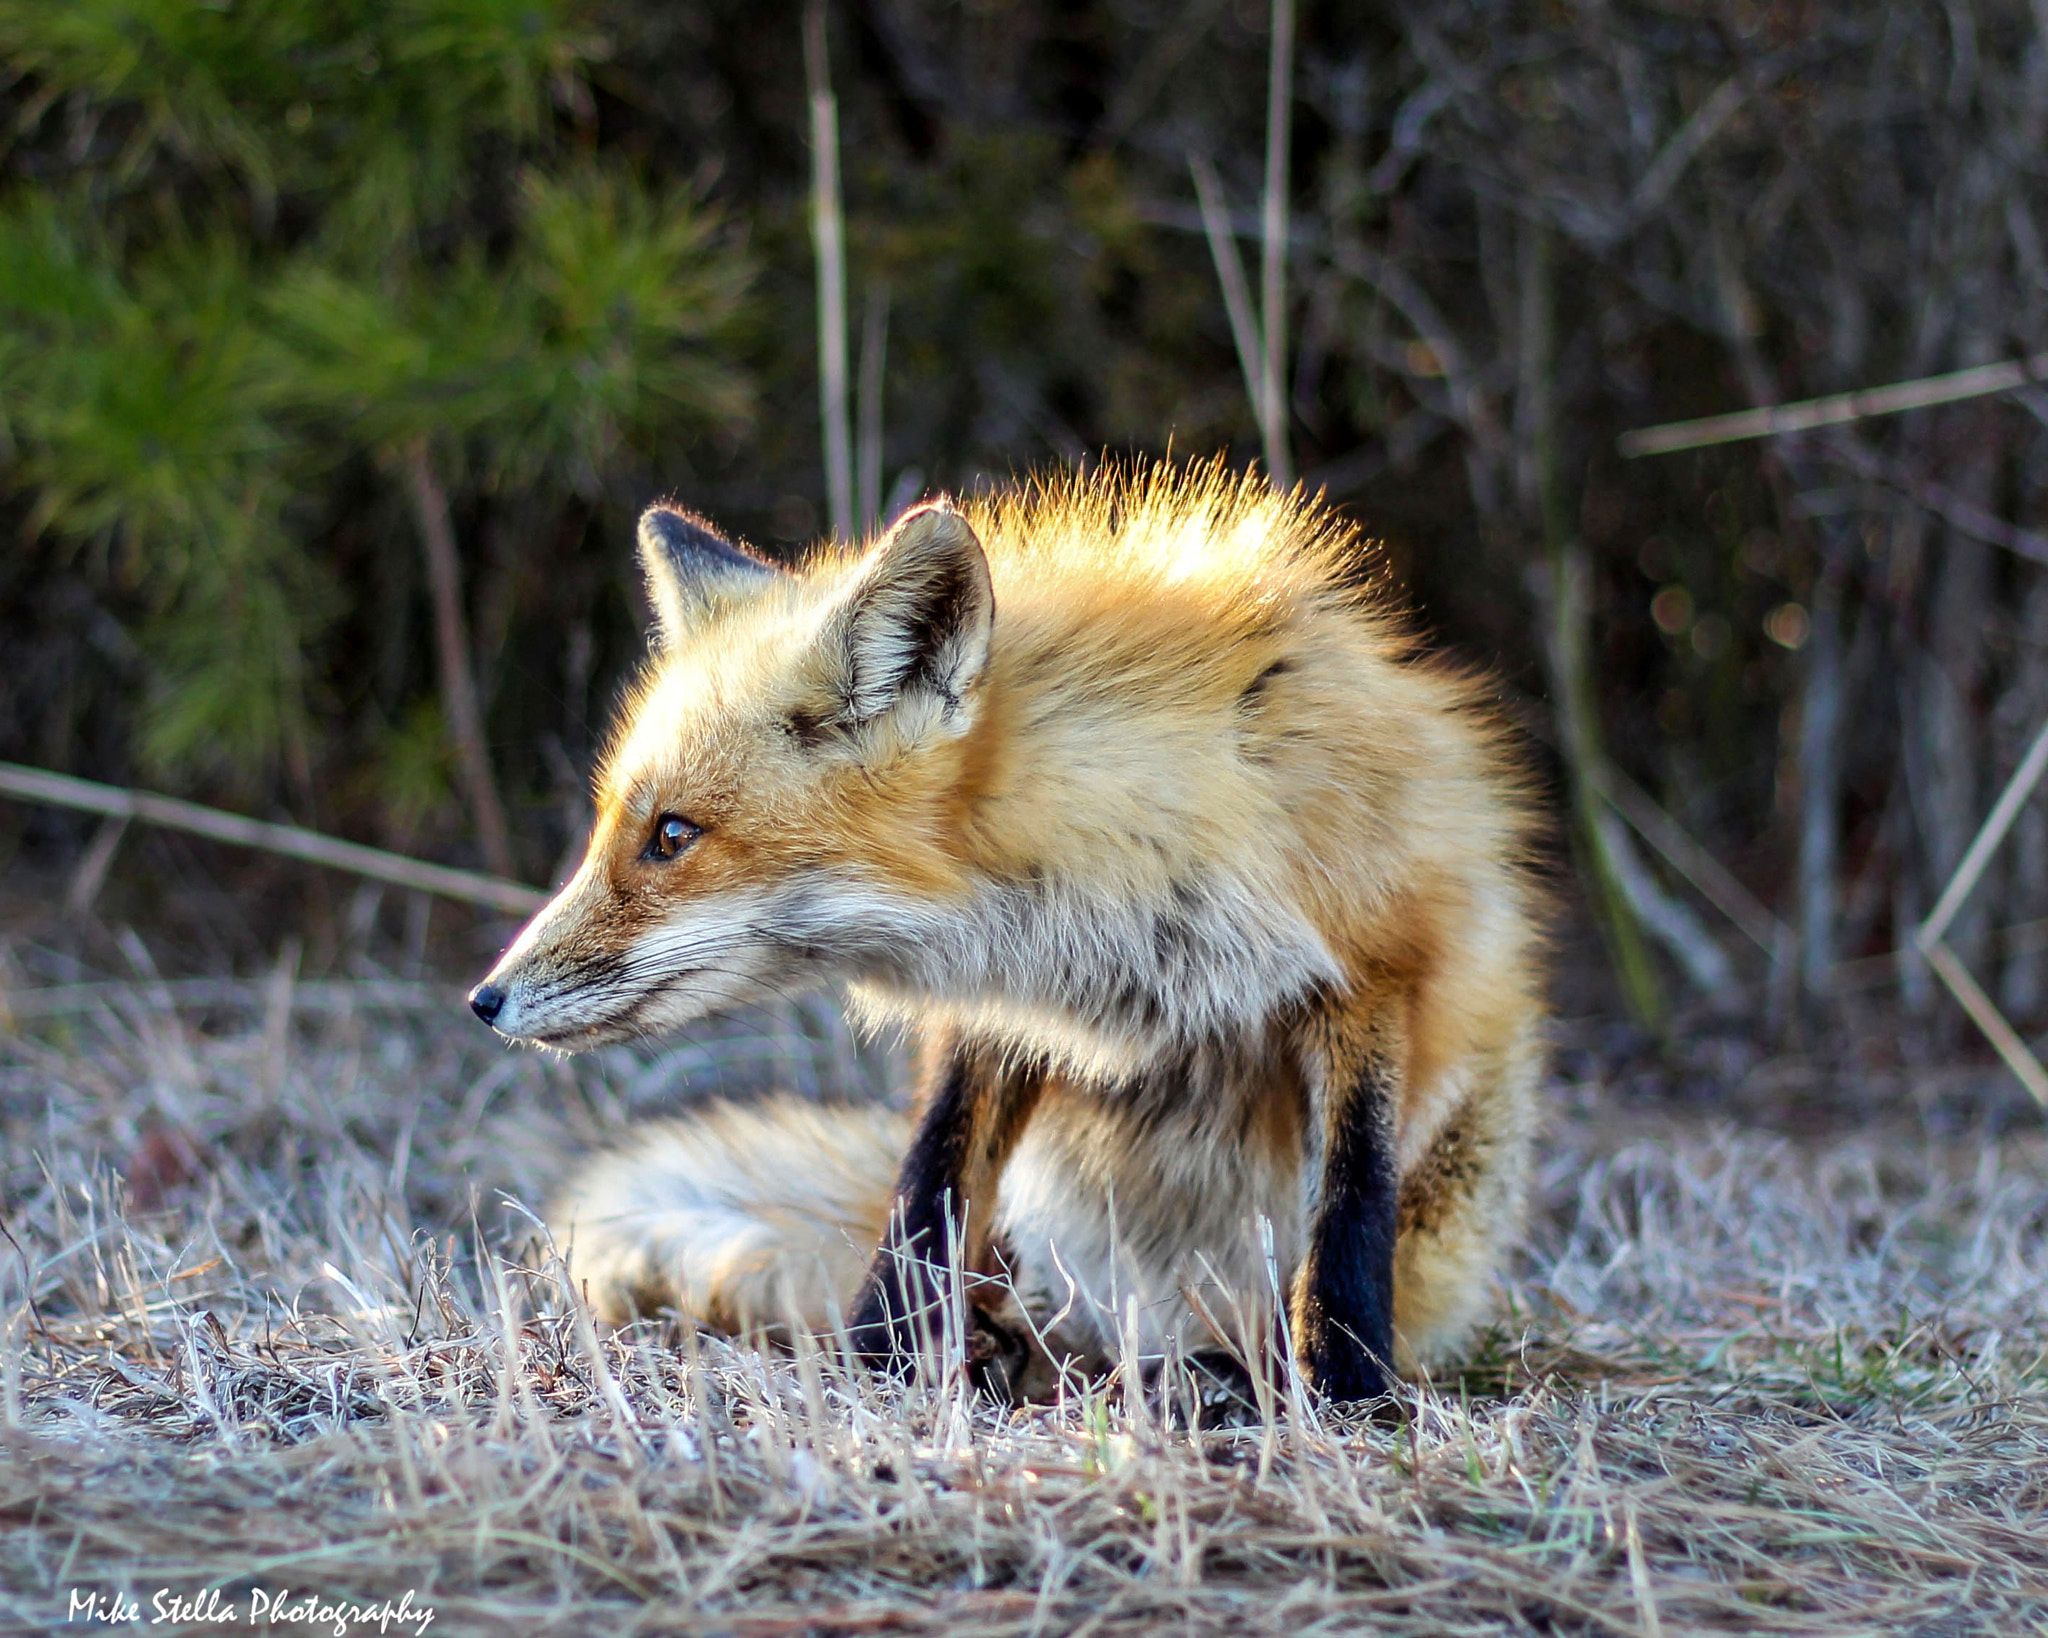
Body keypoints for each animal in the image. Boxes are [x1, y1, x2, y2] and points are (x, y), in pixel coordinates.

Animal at [469, 463, 1544, 1405]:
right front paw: (881, 1366)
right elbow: (927, 1191)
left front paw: (1350, 1391)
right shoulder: (997, 1011)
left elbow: (1349, 1210)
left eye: (671, 836)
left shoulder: (1374, 963)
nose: (484, 1000)